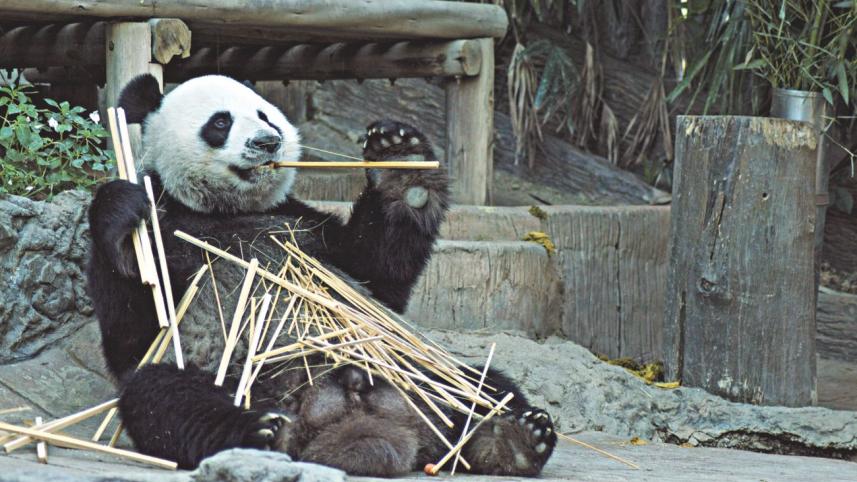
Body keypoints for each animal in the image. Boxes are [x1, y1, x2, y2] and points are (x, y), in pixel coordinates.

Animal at [86, 74, 557, 476]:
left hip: (413, 364)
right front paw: (122, 211)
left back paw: (512, 438)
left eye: (265, 115)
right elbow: (132, 333)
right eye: (220, 122)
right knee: (164, 397)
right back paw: (261, 432)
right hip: (239, 378)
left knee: (479, 383)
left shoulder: (303, 225)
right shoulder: (171, 228)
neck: (225, 210)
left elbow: (378, 273)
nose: (268, 142)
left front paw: (400, 159)